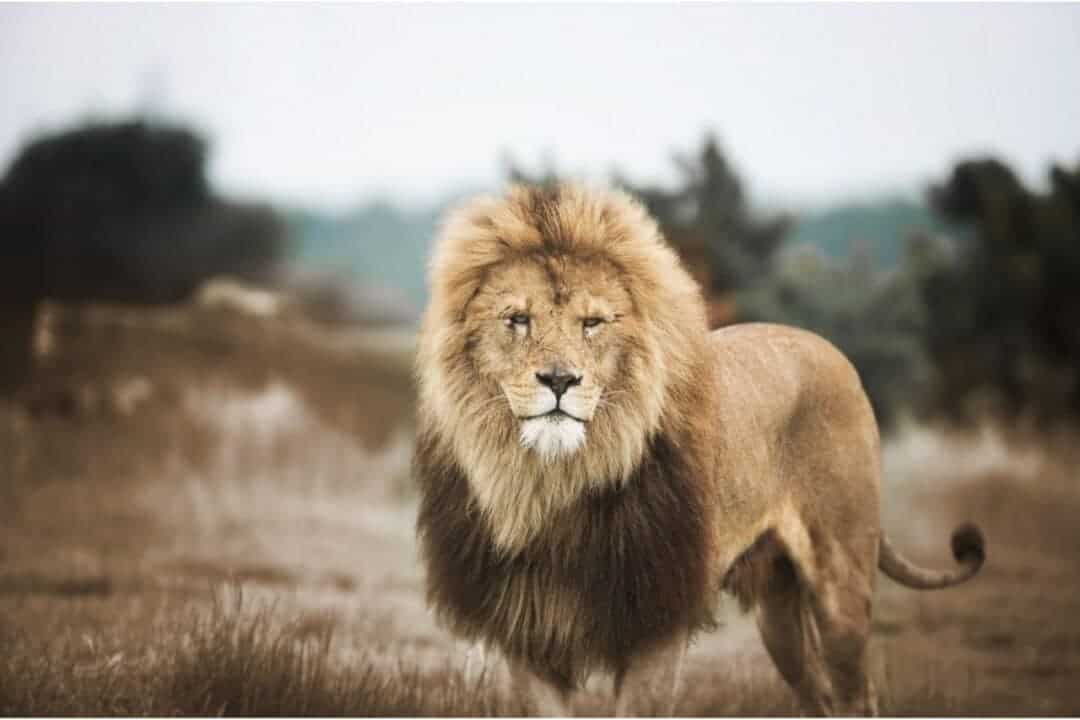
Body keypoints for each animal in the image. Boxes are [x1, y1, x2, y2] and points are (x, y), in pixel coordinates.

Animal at [414, 184, 985, 716]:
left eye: (592, 323)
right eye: (518, 319)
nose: (559, 380)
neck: (558, 481)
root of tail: (831, 351)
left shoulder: (656, 620)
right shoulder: (527, 631)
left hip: (841, 577)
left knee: (855, 696)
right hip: (778, 614)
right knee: (816, 696)